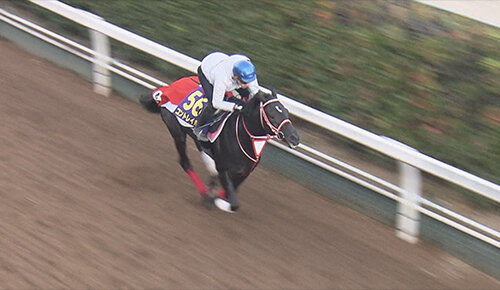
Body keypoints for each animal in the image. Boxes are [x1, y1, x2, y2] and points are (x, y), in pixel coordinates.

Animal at [139, 80, 298, 212]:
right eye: (271, 115)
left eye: (286, 112)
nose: (294, 137)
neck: (243, 137)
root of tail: (167, 89)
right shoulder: (223, 168)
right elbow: (233, 202)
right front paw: (219, 201)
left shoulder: (244, 172)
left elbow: (233, 189)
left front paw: (216, 195)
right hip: (177, 133)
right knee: (185, 162)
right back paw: (204, 192)